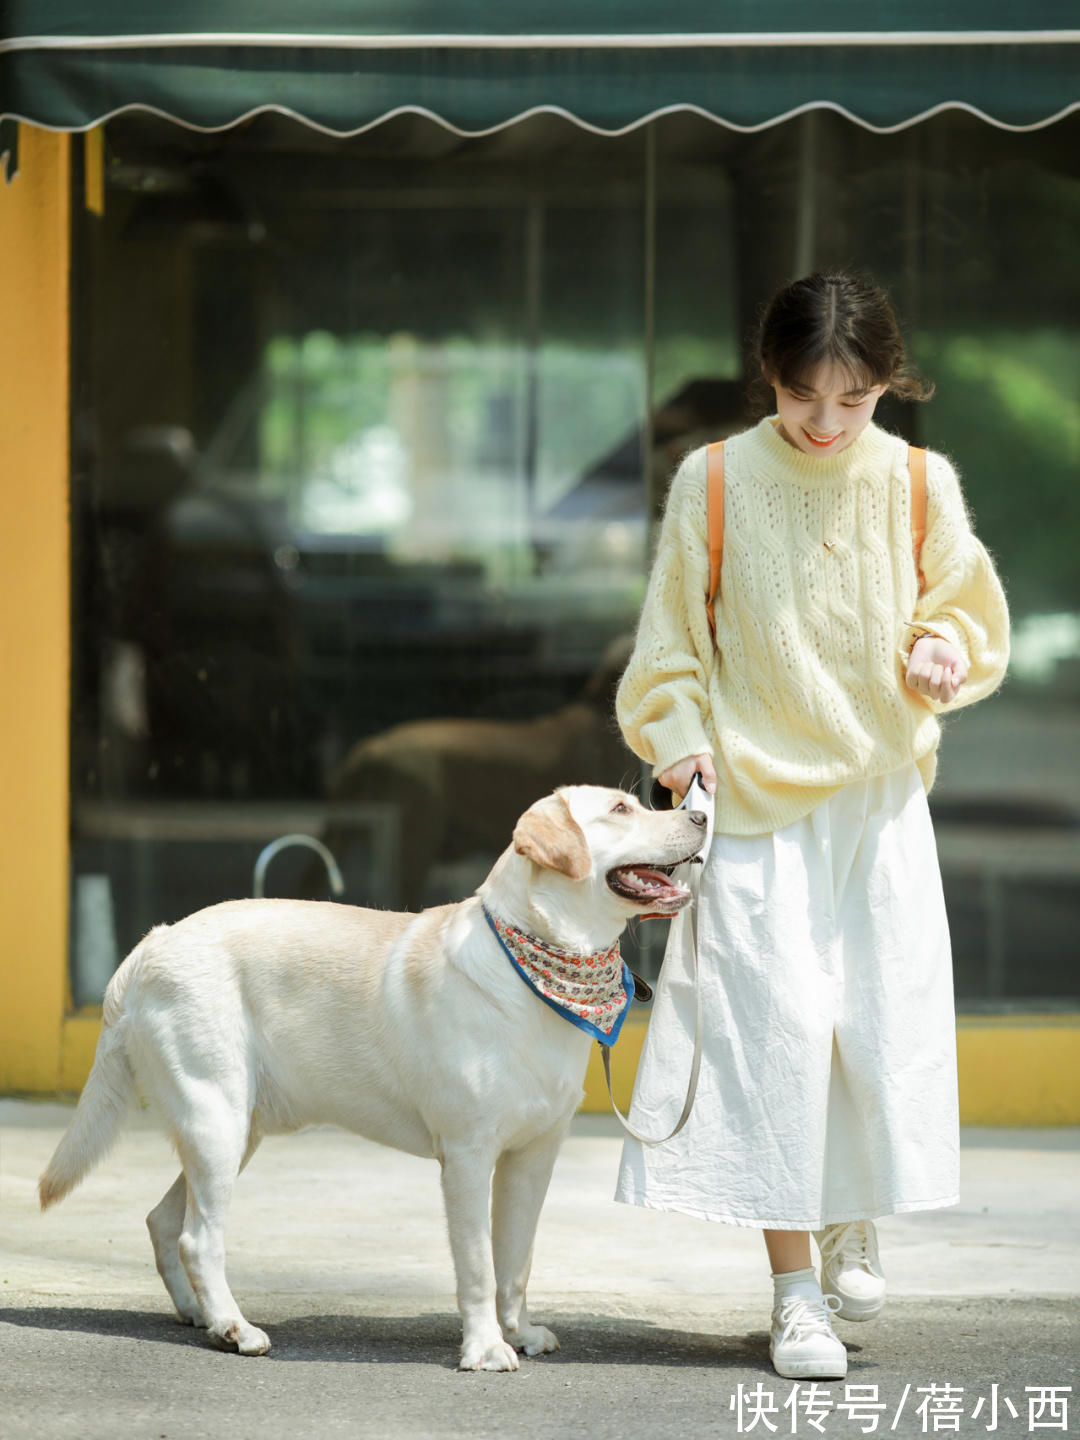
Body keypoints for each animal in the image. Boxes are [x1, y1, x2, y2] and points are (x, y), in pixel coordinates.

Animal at [40, 789, 711, 1370]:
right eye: (621, 809)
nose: (702, 814)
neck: (537, 964)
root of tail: (154, 941)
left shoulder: (534, 1155)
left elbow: (515, 1261)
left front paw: (518, 1332)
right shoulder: (468, 1156)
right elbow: (478, 1264)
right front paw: (485, 1349)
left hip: (234, 1129)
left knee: (163, 1221)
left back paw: (199, 1315)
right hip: (216, 1118)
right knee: (198, 1237)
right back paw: (235, 1328)